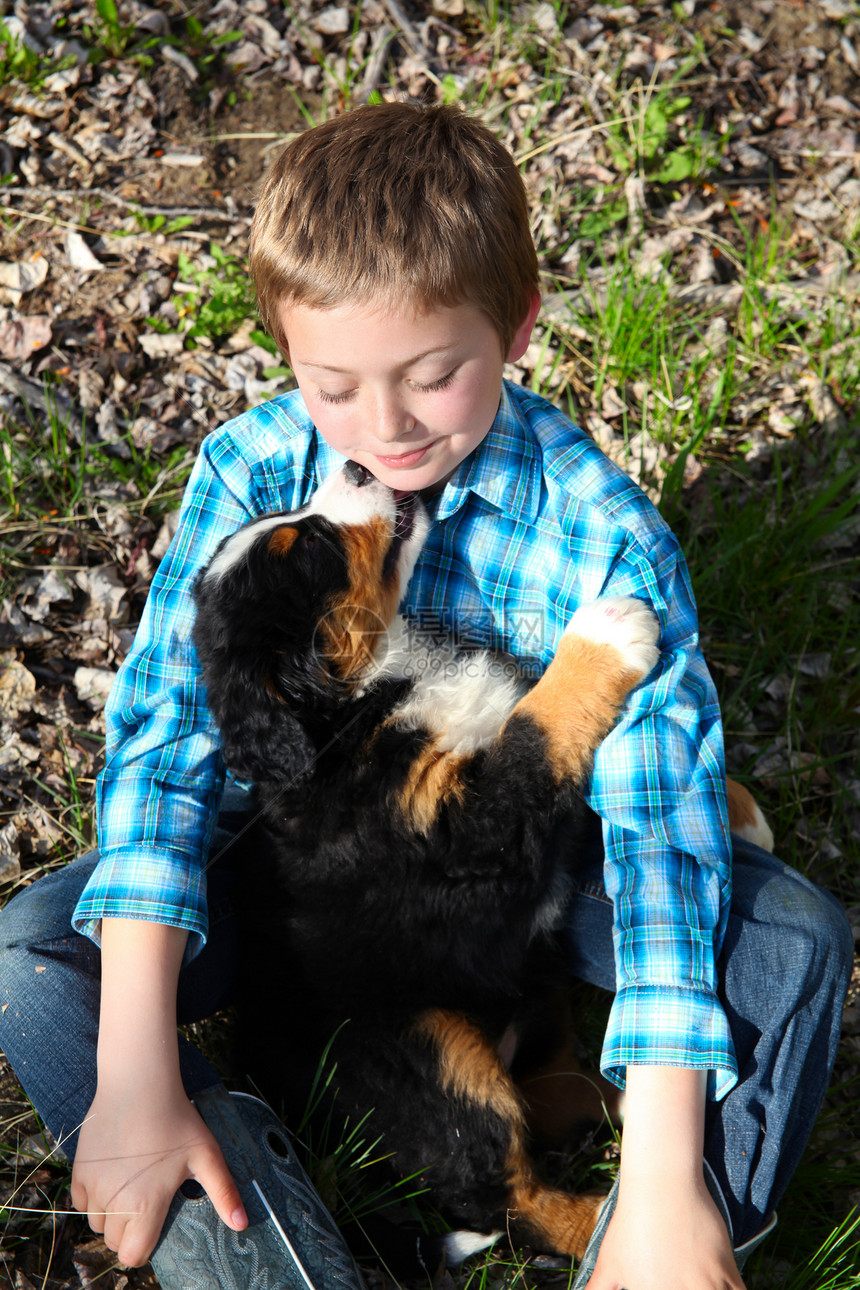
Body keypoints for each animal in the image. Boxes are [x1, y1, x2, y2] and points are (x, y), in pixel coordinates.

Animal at [193, 461, 768, 1269]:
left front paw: (744, 816)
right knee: (513, 1196)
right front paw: (606, 635)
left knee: (555, 1099)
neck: (361, 698)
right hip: (429, 1053)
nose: (357, 465)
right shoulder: (473, 835)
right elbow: (533, 732)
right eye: (310, 544)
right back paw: (621, 1230)